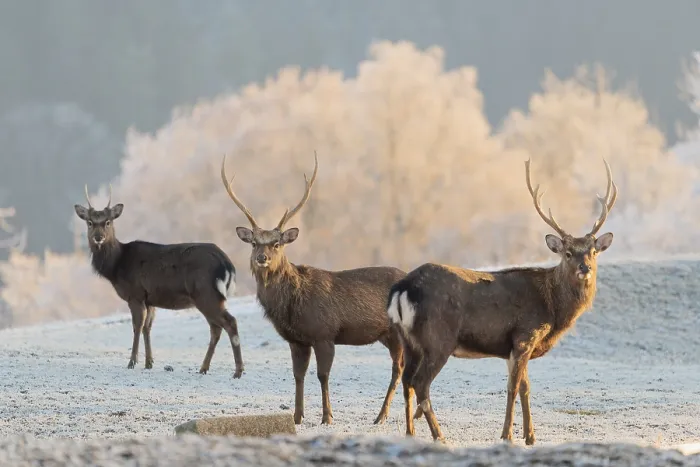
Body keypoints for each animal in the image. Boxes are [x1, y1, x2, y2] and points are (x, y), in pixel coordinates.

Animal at [74, 185, 244, 378]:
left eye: (108, 222)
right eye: (89, 222)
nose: (98, 237)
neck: (116, 266)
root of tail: (227, 263)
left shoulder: (135, 294)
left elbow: (137, 326)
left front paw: (132, 362)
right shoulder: (150, 299)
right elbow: (147, 328)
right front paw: (149, 362)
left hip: (206, 293)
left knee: (230, 322)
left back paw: (238, 371)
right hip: (209, 297)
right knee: (216, 328)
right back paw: (203, 368)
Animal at [220, 152, 407, 426]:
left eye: (277, 243)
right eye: (254, 243)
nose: (262, 258)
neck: (291, 305)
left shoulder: (324, 333)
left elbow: (323, 375)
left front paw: (327, 416)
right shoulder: (297, 340)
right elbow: (298, 375)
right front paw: (297, 416)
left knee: (399, 367)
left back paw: (381, 415)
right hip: (387, 335)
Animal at [387, 157, 617, 445]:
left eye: (594, 251)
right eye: (567, 253)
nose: (585, 268)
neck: (552, 309)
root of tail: (402, 288)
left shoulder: (515, 347)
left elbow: (526, 388)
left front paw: (530, 437)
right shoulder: (525, 335)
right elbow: (513, 388)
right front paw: (507, 435)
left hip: (409, 340)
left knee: (407, 379)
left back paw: (410, 433)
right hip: (438, 338)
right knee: (420, 383)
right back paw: (439, 436)